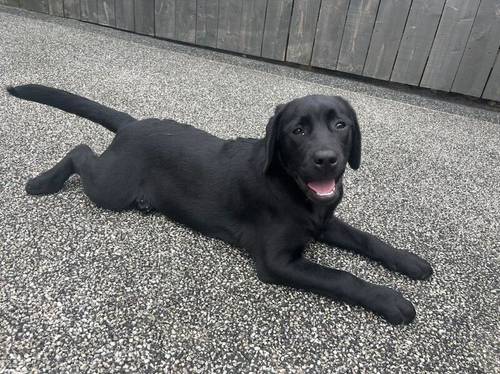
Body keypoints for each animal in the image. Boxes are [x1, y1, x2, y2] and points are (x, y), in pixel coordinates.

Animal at [6, 84, 434, 324]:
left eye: (340, 125)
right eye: (297, 130)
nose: (327, 159)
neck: (291, 188)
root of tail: (132, 124)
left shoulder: (324, 221)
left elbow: (367, 239)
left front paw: (409, 261)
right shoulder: (277, 262)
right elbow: (342, 276)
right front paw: (390, 299)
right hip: (111, 188)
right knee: (79, 152)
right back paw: (42, 182)